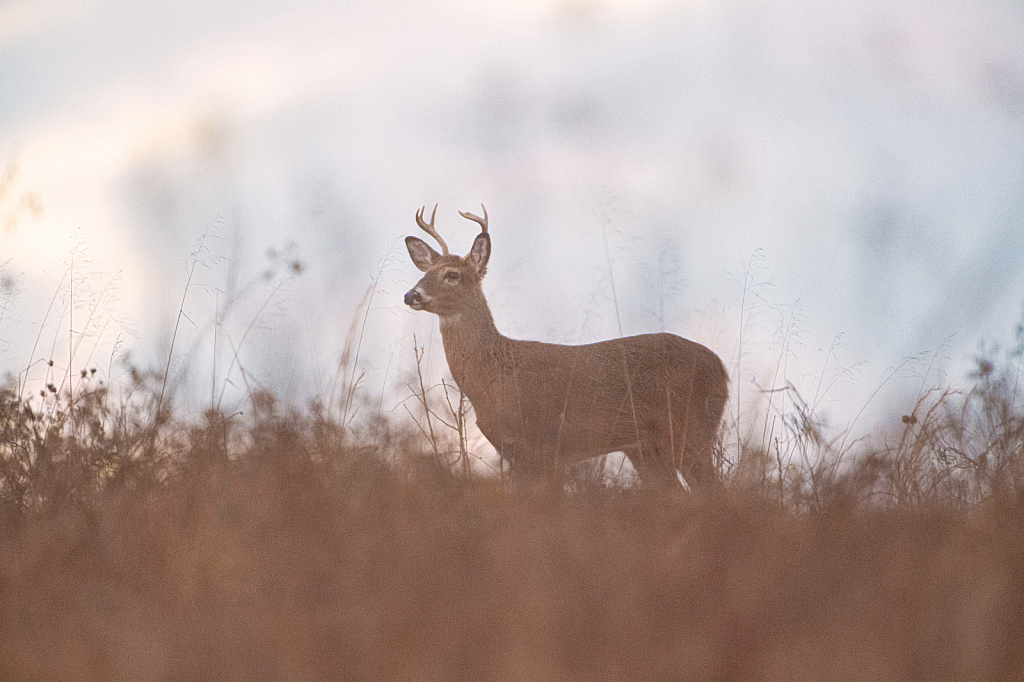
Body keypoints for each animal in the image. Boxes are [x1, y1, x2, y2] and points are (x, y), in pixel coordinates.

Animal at [401, 204, 729, 485]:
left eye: (452, 275)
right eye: (424, 272)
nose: (410, 295)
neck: (497, 377)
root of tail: (721, 369)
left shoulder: (544, 447)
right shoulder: (516, 453)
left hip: (690, 429)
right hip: (645, 448)